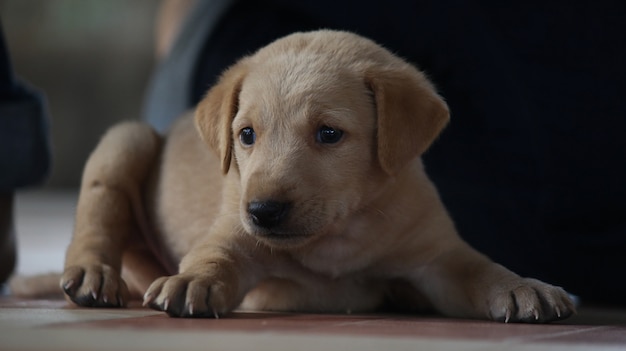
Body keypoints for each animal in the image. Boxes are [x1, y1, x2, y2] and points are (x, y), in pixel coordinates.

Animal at [61, 31, 572, 324]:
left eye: (329, 133)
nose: (262, 211)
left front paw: (525, 287)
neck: (339, 234)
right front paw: (191, 280)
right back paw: (92, 274)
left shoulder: (437, 255)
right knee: (97, 221)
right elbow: (215, 255)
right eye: (246, 135)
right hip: (127, 140)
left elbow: (482, 268)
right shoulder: (234, 235)